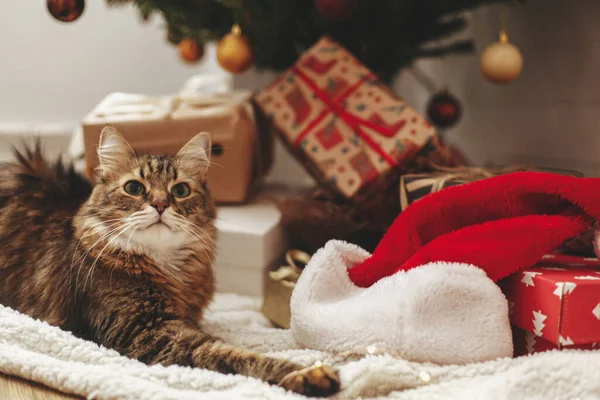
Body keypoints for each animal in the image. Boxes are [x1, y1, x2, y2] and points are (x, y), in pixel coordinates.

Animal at [0, 128, 338, 396]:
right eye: (134, 188)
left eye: (181, 190)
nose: (161, 204)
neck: (168, 267)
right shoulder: (145, 331)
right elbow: (232, 354)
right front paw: (306, 374)